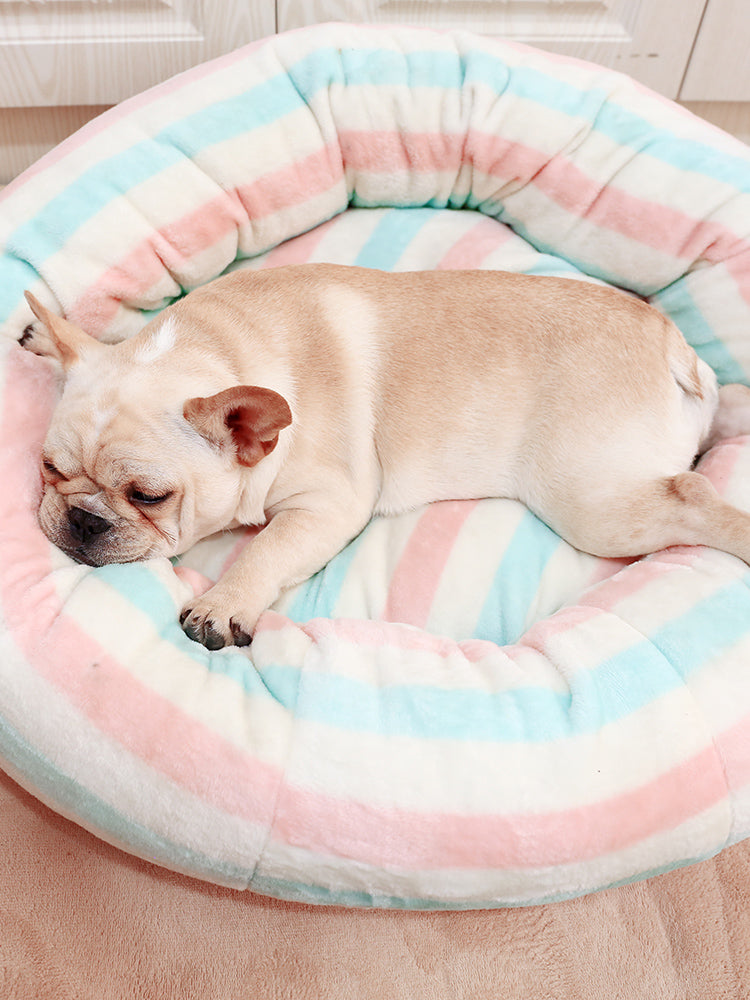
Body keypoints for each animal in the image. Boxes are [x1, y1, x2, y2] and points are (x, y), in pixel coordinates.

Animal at [19, 264, 750, 648]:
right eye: (50, 470)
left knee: (693, 495)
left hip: (590, 502)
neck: (217, 349)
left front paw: (226, 600)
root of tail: (672, 346)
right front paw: (45, 336)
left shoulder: (327, 505)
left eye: (150, 496)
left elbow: (266, 548)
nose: (82, 520)